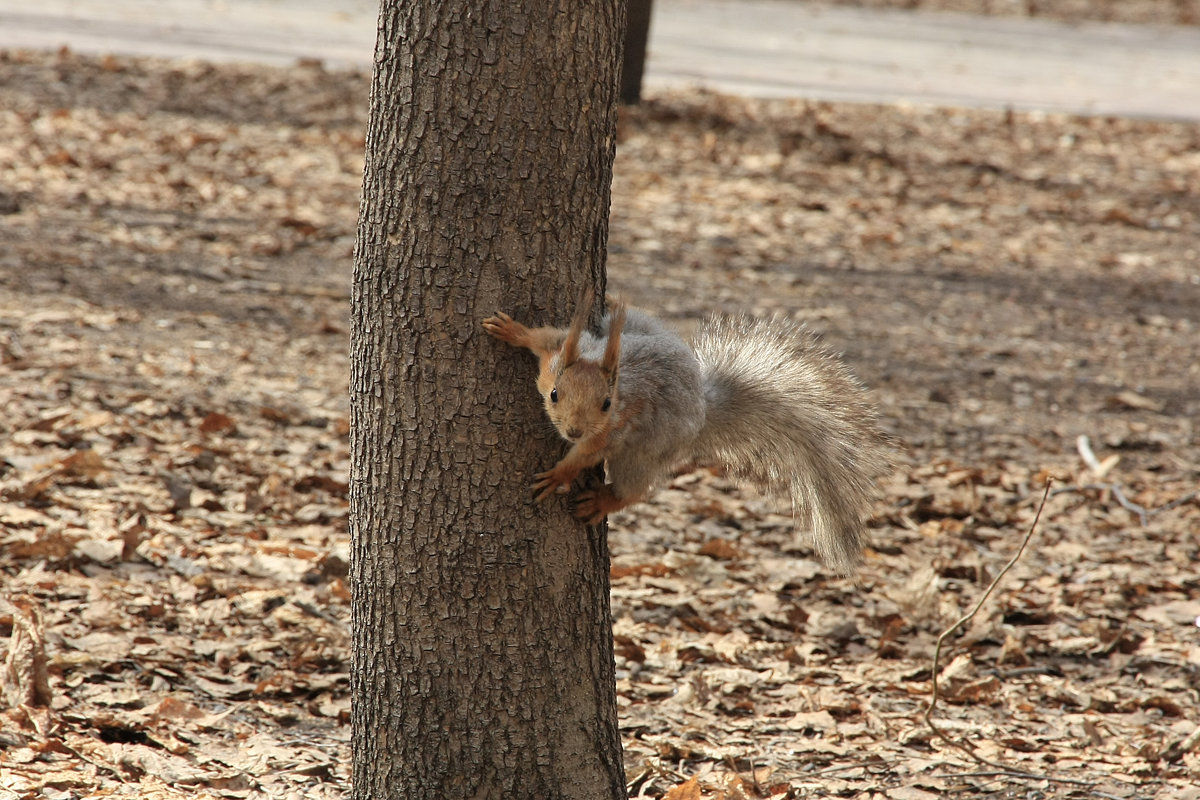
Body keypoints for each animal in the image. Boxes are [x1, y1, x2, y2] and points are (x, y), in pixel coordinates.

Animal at [480, 291, 892, 573]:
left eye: (607, 404)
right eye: (554, 394)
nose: (573, 430)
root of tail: (703, 408)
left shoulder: (610, 431)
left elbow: (585, 456)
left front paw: (558, 475)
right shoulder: (561, 350)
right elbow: (544, 337)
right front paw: (511, 330)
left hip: (646, 451)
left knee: (635, 488)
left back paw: (603, 500)